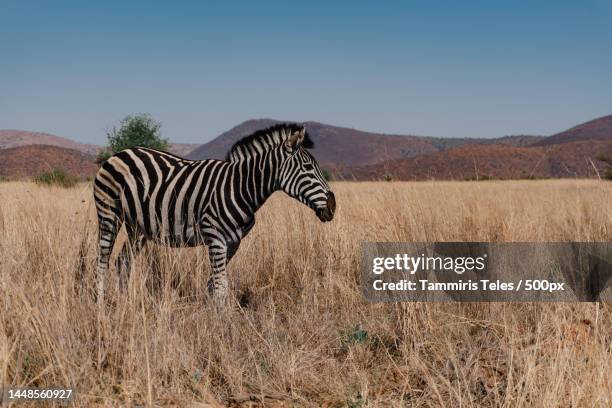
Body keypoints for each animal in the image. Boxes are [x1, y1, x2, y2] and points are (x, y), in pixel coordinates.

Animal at [93, 124, 338, 306]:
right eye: (307, 167)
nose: (333, 206)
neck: (240, 187)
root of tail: (119, 153)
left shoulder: (233, 241)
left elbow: (214, 284)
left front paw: (212, 316)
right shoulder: (216, 239)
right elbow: (221, 287)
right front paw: (221, 328)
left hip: (138, 227)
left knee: (123, 261)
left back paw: (126, 303)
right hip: (109, 214)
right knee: (102, 261)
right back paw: (100, 305)